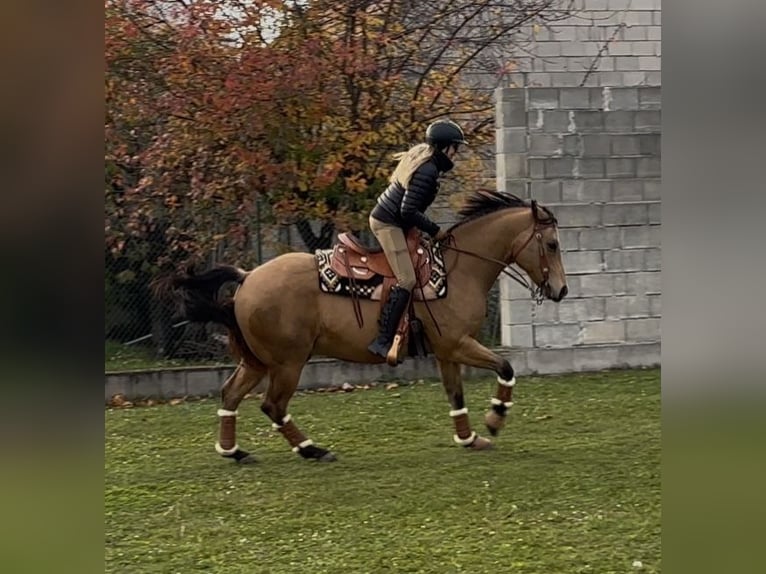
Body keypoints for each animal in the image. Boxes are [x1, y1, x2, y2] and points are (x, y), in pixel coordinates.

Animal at [157, 191, 568, 463]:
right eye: (551, 244)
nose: (561, 290)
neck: (458, 269)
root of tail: (247, 277)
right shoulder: (458, 345)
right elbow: (506, 366)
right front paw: (495, 418)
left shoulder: (447, 352)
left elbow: (456, 396)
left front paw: (470, 439)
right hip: (288, 362)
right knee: (273, 405)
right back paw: (311, 449)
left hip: (258, 361)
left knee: (230, 394)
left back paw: (234, 451)